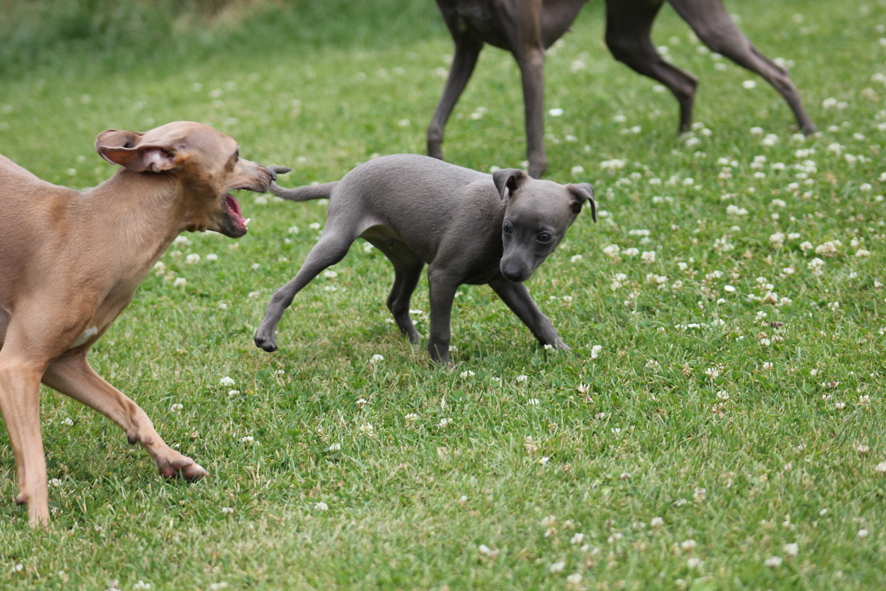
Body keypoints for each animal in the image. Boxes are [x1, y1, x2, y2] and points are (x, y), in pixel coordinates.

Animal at [0, 121, 278, 528]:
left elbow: (130, 408)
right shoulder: (17, 364)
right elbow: (34, 457)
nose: (273, 173)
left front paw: (172, 459)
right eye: (236, 155)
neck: (104, 231)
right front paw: (40, 524)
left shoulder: (62, 364)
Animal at [253, 155, 596, 364]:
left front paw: (563, 352)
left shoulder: (504, 282)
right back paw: (265, 336)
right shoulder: (443, 275)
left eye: (544, 237)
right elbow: (442, 329)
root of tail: (339, 183)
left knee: (396, 302)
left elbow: (538, 318)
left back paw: (414, 340)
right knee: (283, 291)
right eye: (508, 227)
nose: (512, 269)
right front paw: (443, 367)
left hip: (408, 260)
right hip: (336, 244)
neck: (496, 213)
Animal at [430, 0, 820, 178]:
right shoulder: (466, 48)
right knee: (686, 81)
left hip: (707, 26)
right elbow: (435, 124)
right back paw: (684, 138)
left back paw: (808, 130)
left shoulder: (531, 54)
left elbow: (533, 136)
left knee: (779, 72)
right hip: (626, 39)